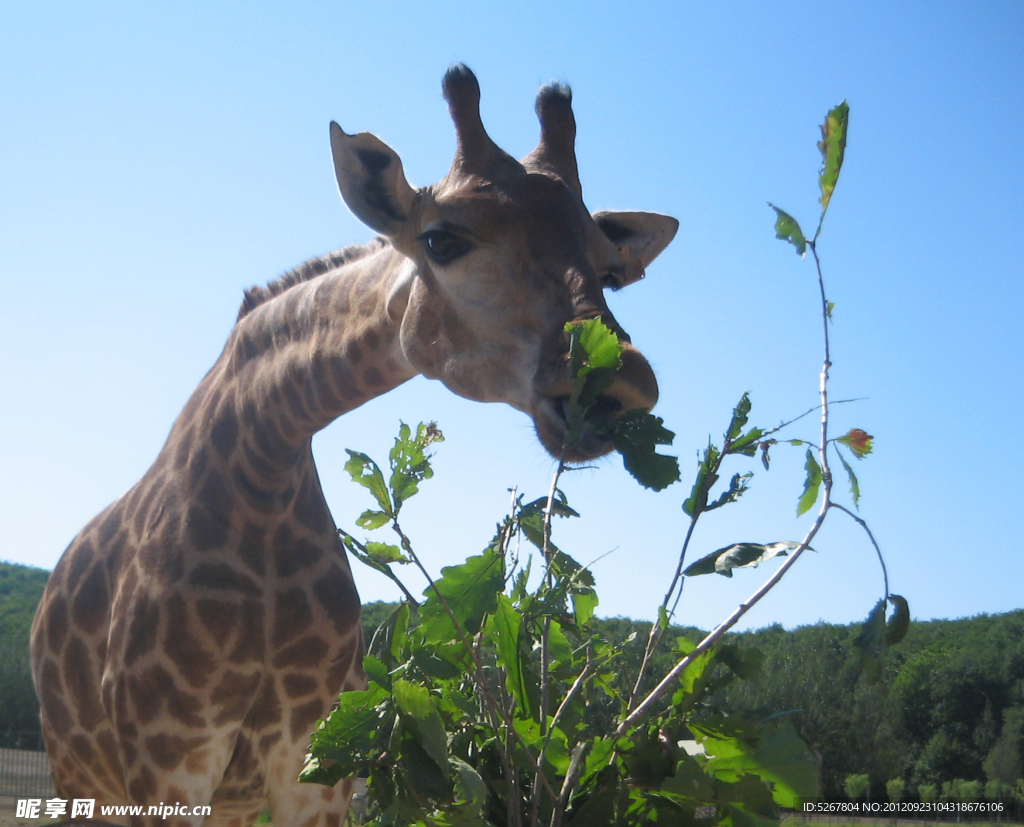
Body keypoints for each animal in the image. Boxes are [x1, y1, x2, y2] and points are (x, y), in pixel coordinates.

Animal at [29, 64, 679, 827]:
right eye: (442, 240)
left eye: (610, 274)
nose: (621, 389)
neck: (262, 476)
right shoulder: (164, 764)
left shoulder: (318, 767)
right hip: (79, 773)